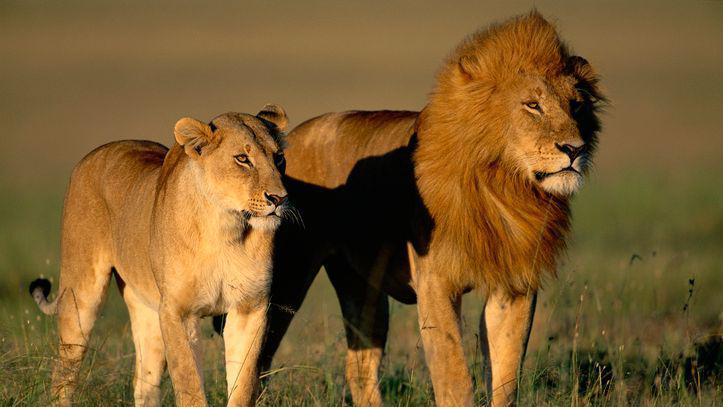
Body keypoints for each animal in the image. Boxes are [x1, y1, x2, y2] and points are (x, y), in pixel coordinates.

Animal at [30, 106, 292, 407]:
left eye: (279, 157)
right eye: (242, 159)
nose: (280, 198)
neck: (226, 228)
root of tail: (91, 155)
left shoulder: (250, 308)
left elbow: (244, 384)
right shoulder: (178, 312)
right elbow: (189, 384)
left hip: (146, 312)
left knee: (144, 383)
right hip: (81, 296)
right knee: (63, 374)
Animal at [250, 11, 604, 407]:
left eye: (576, 106)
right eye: (533, 105)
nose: (574, 149)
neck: (505, 187)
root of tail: (286, 142)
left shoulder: (514, 285)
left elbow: (506, 376)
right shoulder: (435, 282)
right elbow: (453, 375)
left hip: (361, 285)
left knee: (359, 366)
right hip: (286, 280)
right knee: (258, 358)